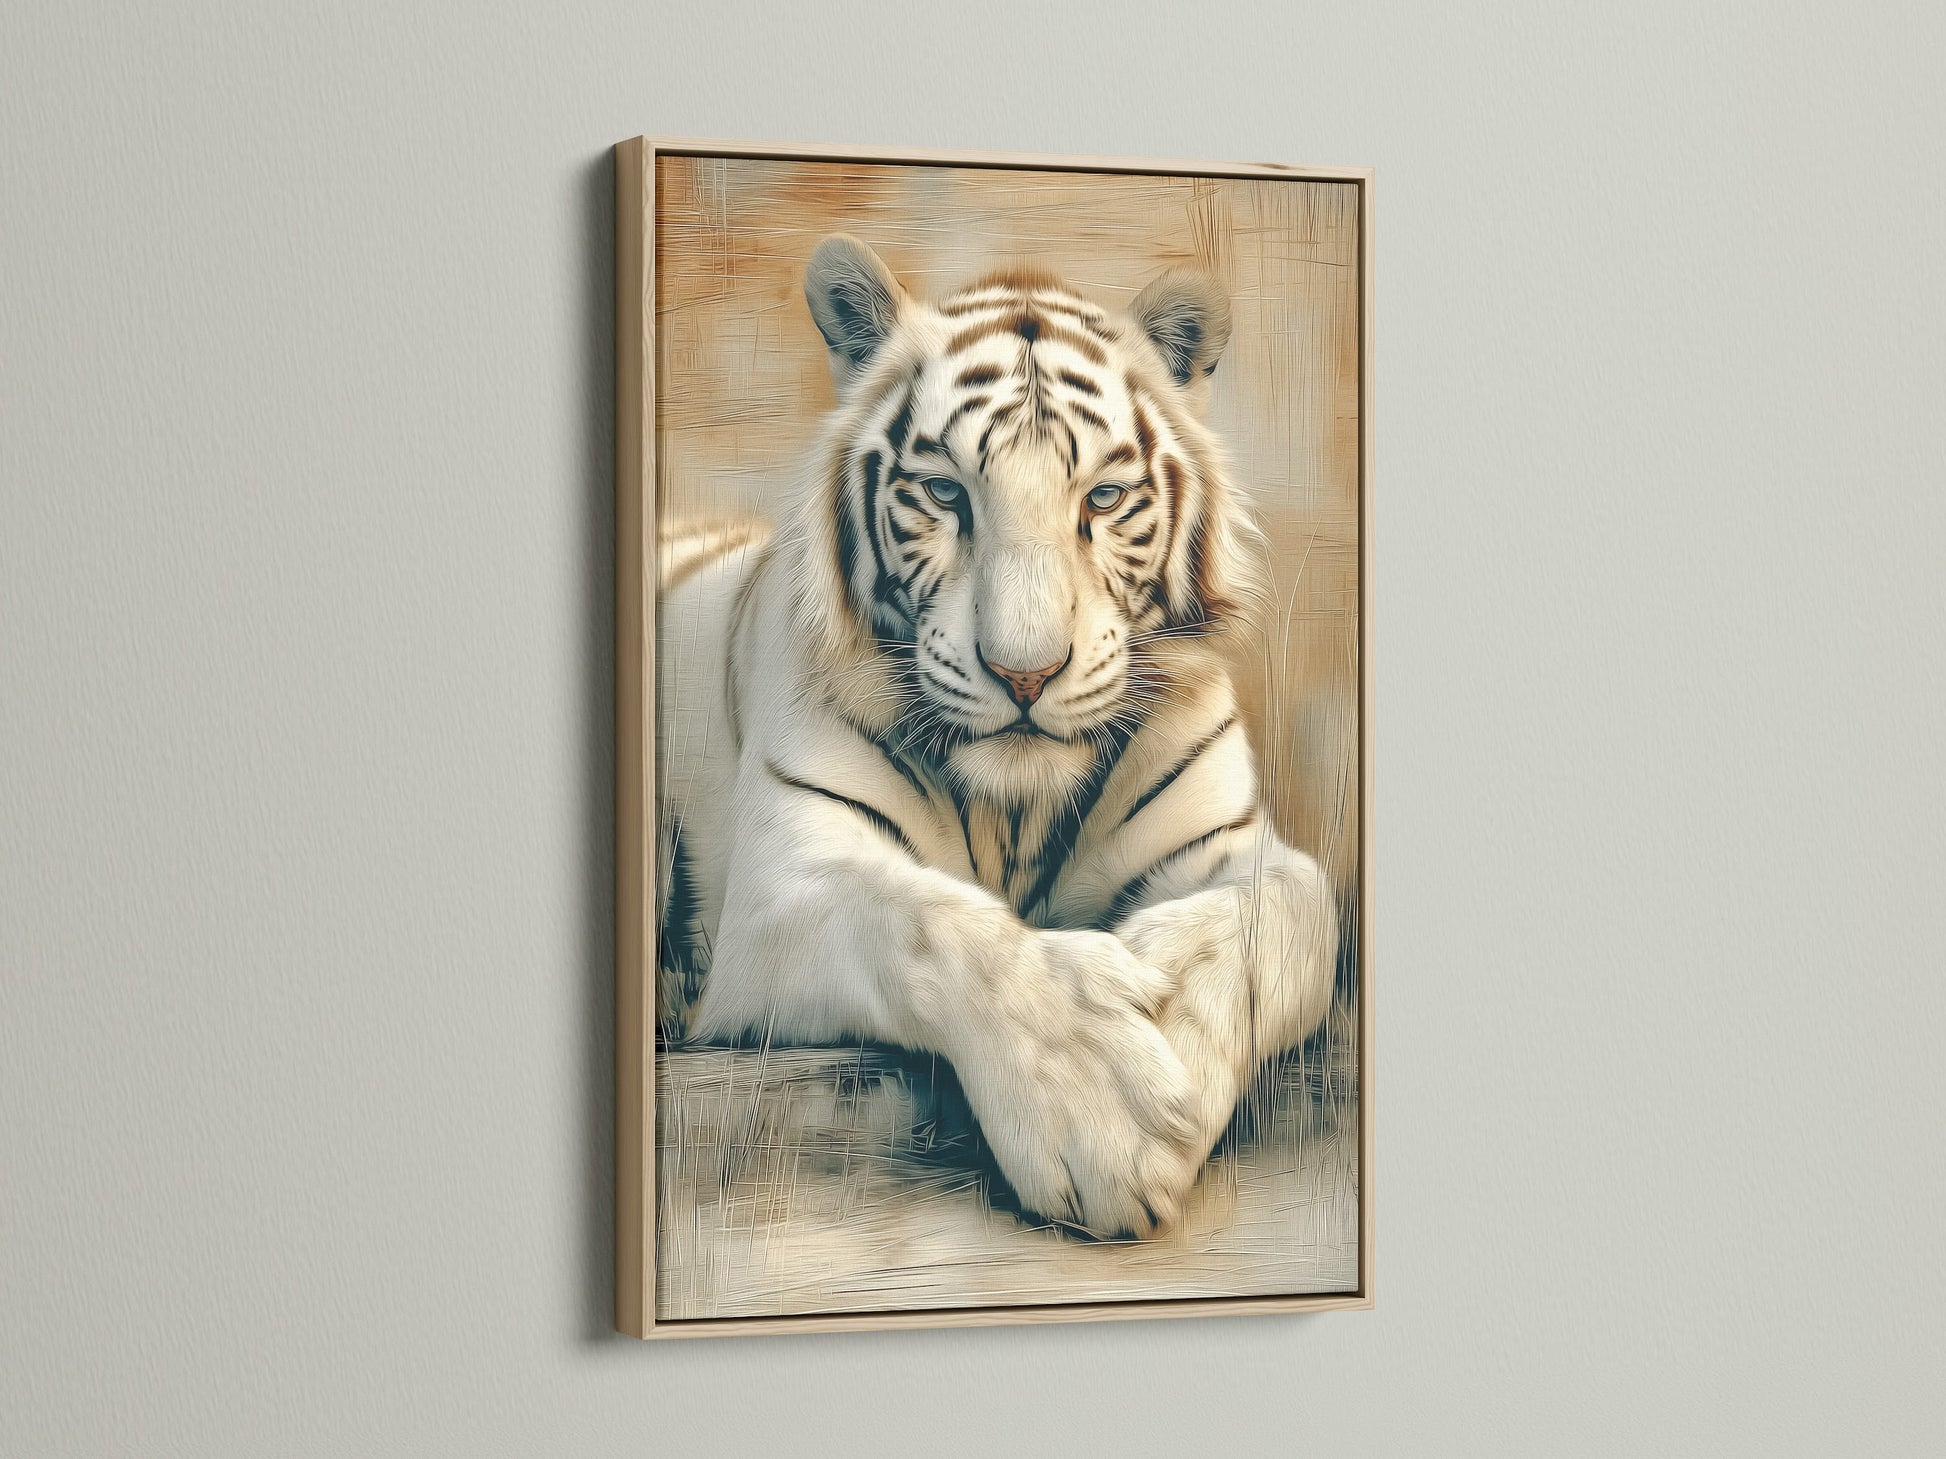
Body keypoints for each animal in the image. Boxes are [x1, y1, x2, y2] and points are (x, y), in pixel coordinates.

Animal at [655, 235, 1339, 1240]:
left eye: (1103, 497)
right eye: (945, 493)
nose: (1025, 674)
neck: (1015, 806)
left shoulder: (1234, 846)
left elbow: (1293, 914)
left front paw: (1172, 1011)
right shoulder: (782, 891)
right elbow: (927, 920)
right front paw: (1107, 1108)